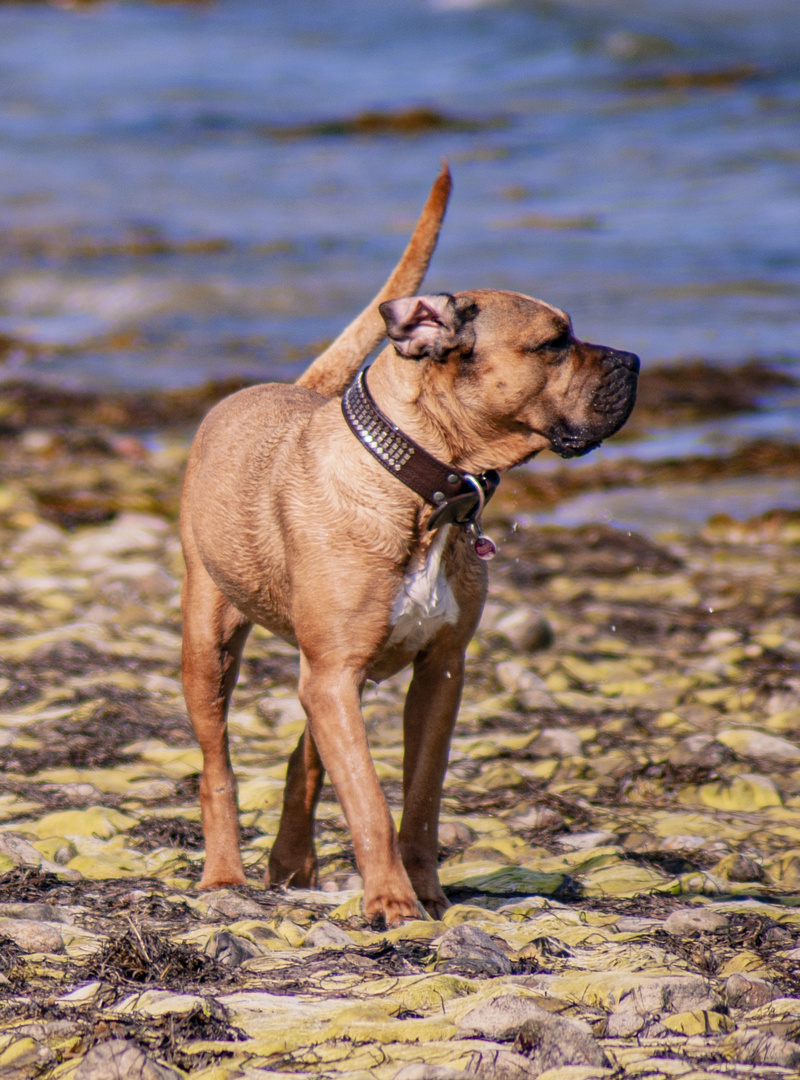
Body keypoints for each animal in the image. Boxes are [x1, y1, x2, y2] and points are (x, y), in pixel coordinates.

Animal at [179, 164, 634, 924]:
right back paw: (223, 876)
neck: (423, 487)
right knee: (219, 766)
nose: (635, 359)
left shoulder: (439, 673)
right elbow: (366, 796)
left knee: (307, 756)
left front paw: (425, 891)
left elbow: (419, 797)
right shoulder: (335, 675)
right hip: (210, 648)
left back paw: (292, 862)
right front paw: (391, 901)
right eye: (554, 342)